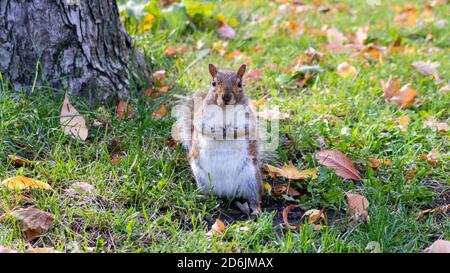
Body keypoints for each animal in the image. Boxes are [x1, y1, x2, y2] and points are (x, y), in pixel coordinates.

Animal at [172, 62, 264, 214]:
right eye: (213, 83)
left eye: (240, 84)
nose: (226, 96)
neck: (225, 109)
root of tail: (227, 192)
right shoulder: (201, 116)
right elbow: (201, 127)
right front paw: (219, 133)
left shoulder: (247, 117)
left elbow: (246, 128)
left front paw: (230, 132)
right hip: (202, 178)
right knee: (209, 193)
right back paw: (203, 197)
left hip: (251, 178)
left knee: (254, 197)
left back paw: (256, 209)